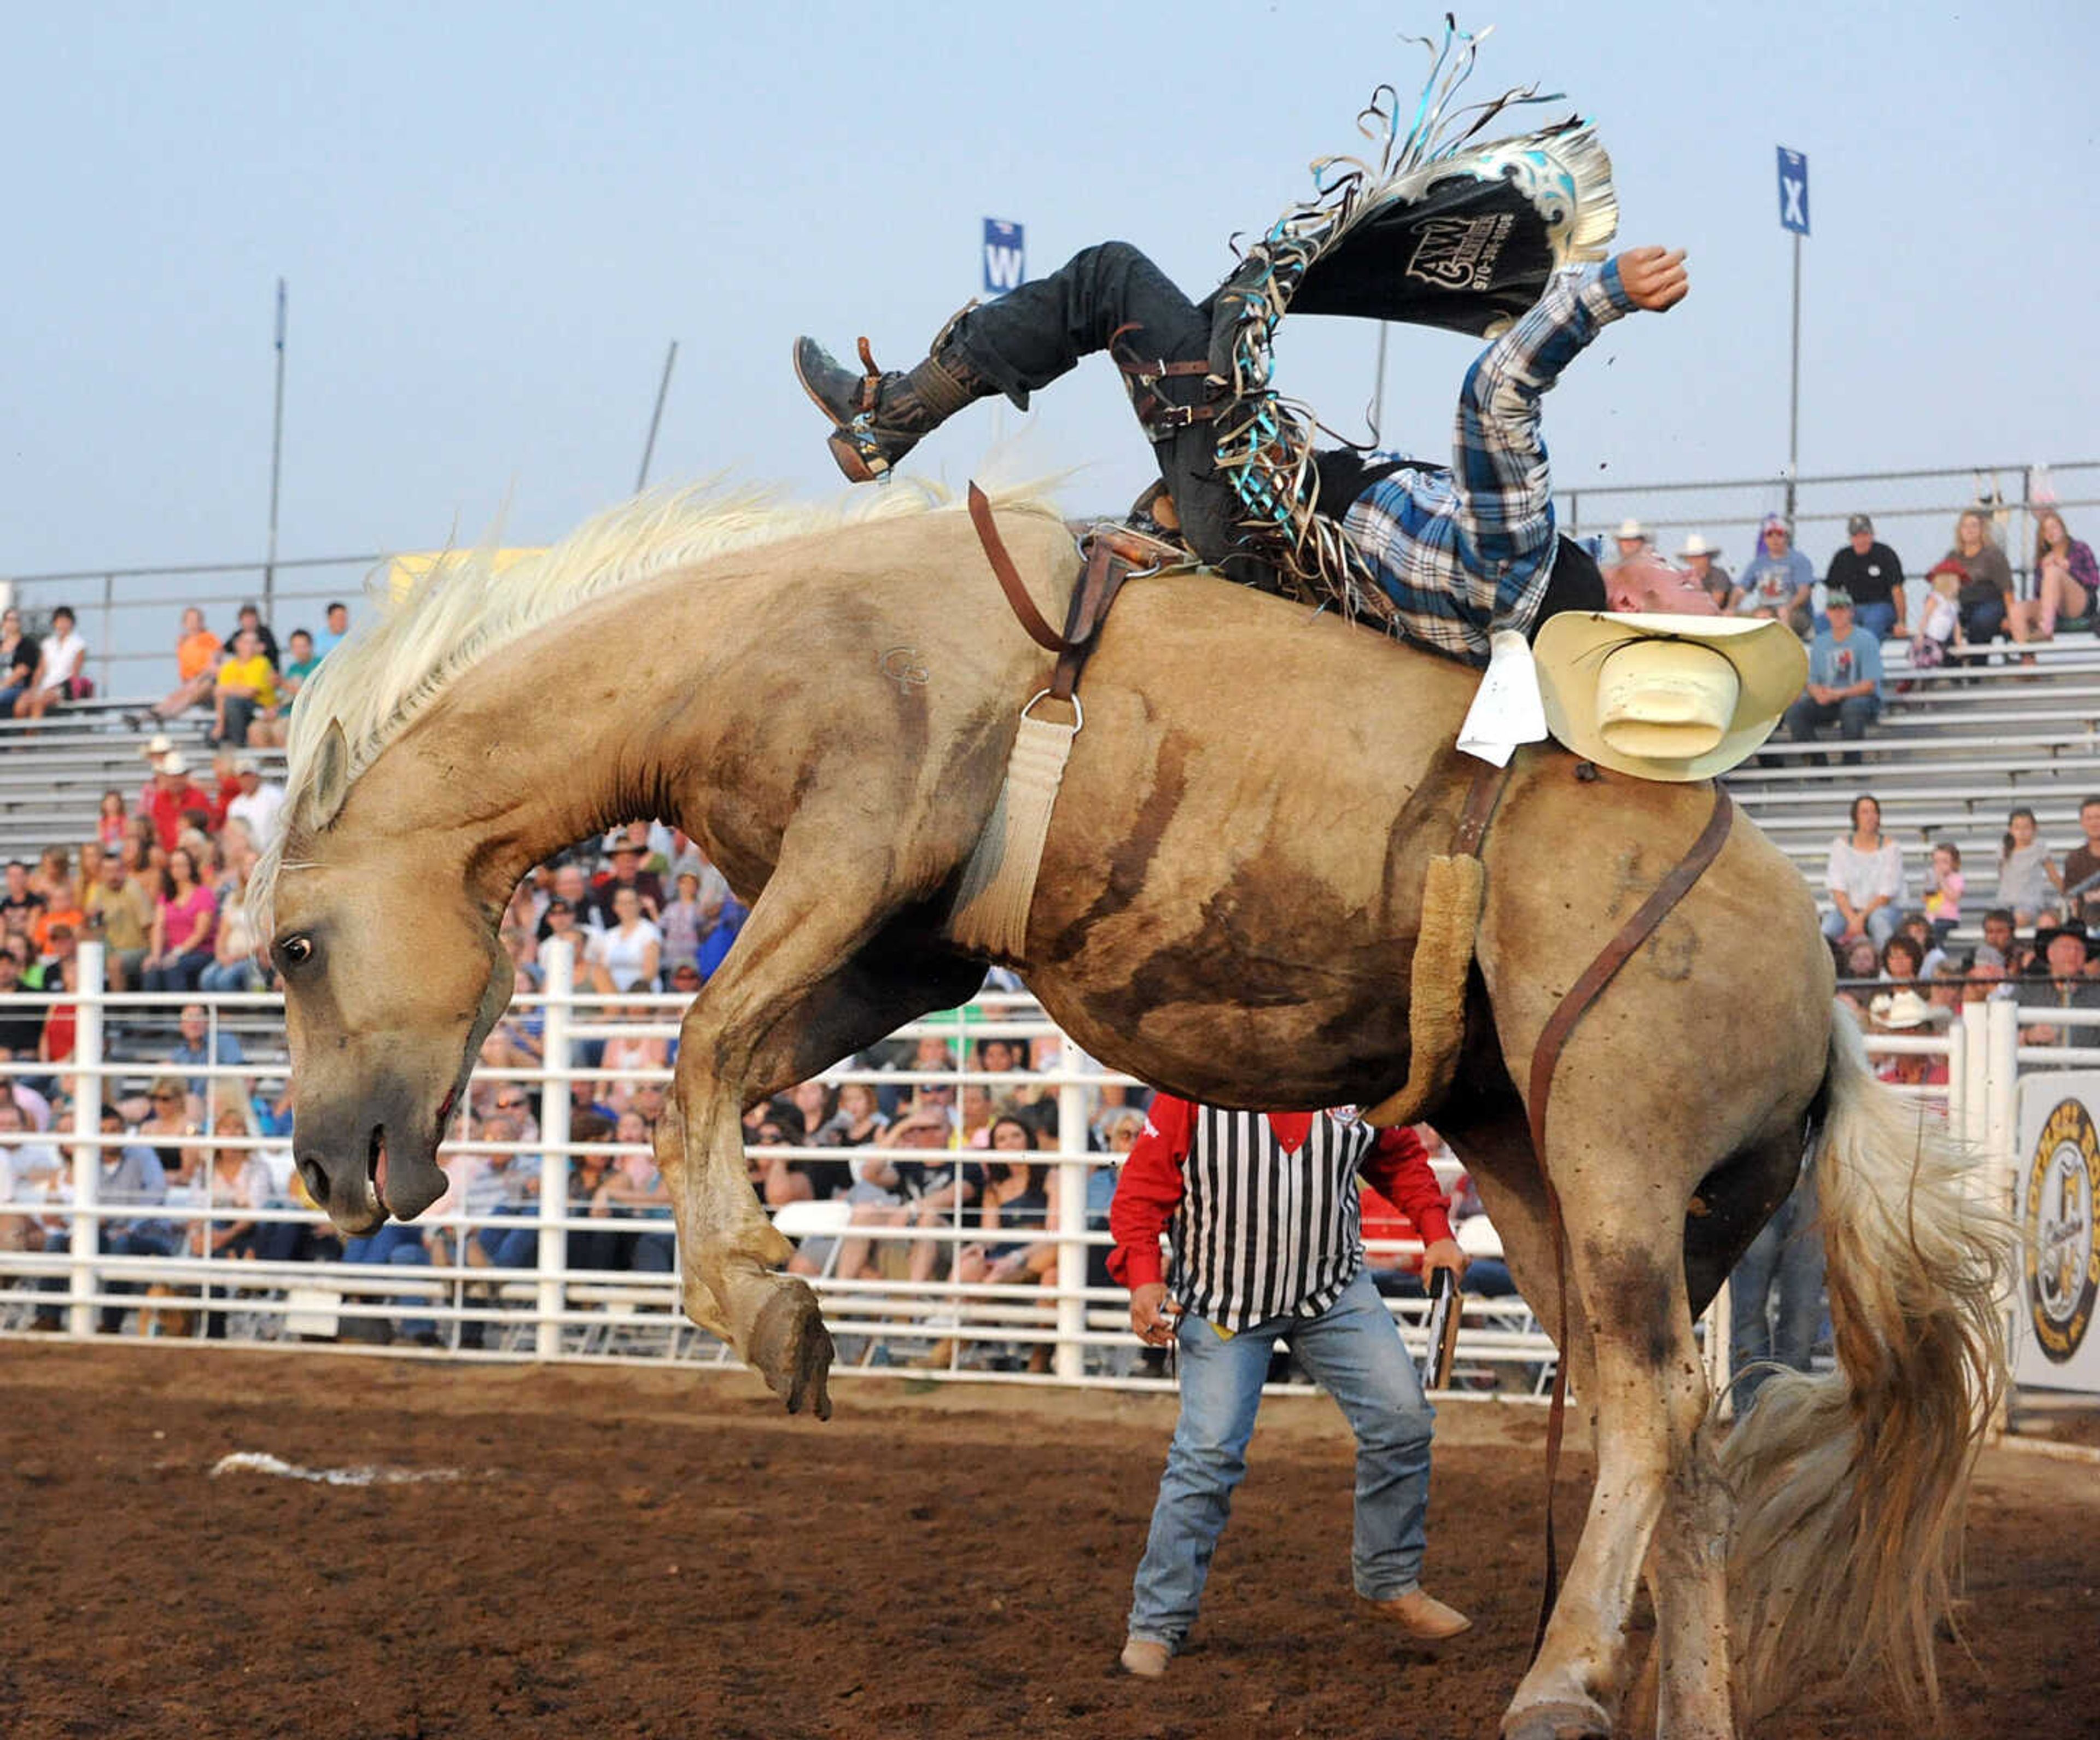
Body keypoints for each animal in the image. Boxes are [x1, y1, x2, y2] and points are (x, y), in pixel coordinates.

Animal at [262, 484, 1999, 1738]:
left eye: (290, 945)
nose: (325, 1167)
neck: (754, 631)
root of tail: (1825, 991)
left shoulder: (853, 849)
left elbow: (690, 1053)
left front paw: (772, 1312)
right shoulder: (904, 949)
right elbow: (729, 1068)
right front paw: (770, 1301)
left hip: (1613, 1152)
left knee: (1651, 1400)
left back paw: (1560, 1680)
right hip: (1544, 1169)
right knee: (1693, 1438)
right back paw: (1679, 1707)